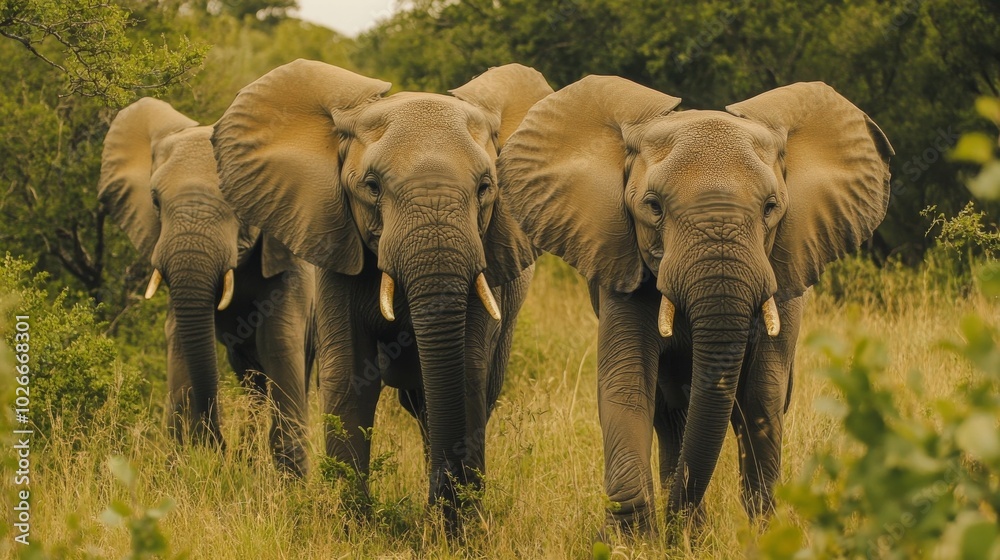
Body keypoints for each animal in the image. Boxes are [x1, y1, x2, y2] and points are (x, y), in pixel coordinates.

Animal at [99, 98, 317, 475]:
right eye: (155, 201)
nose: (218, 445)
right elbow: (178, 343)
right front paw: (181, 465)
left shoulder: (290, 261)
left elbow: (278, 341)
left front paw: (292, 482)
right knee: (251, 378)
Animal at [211, 60, 552, 522]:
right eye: (371, 186)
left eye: (485, 187)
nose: (444, 515)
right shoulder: (336, 249)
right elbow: (349, 376)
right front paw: (354, 524)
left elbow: (467, 376)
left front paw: (456, 528)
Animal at [498, 77, 892, 530]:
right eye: (653, 206)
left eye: (771, 207)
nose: (673, 518)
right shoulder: (621, 262)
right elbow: (626, 382)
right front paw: (635, 536)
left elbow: (761, 397)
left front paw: (763, 531)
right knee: (672, 414)